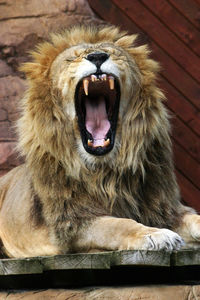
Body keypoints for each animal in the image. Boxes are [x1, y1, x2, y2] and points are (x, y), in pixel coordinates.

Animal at [0, 25, 200, 258]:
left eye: (112, 53)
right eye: (73, 58)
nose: (97, 56)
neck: (107, 170)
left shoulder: (164, 208)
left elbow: (193, 218)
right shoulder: (73, 223)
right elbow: (119, 224)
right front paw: (156, 235)